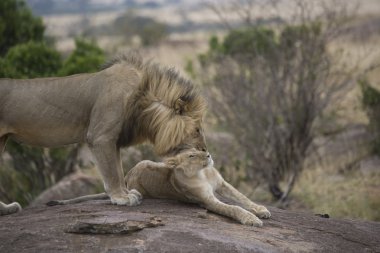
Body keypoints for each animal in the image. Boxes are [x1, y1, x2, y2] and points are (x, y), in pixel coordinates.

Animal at [0, 52, 206, 214]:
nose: (205, 150)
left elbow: (119, 169)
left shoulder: (114, 140)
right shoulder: (100, 137)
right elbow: (111, 172)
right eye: (197, 130)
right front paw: (120, 198)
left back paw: (6, 209)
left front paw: (126, 193)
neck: (143, 102)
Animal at [47, 149, 272, 226]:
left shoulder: (223, 184)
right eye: (192, 155)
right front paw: (251, 219)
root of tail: (127, 176)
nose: (208, 155)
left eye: (199, 150)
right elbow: (233, 208)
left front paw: (261, 210)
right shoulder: (207, 201)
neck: (201, 172)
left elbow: (242, 197)